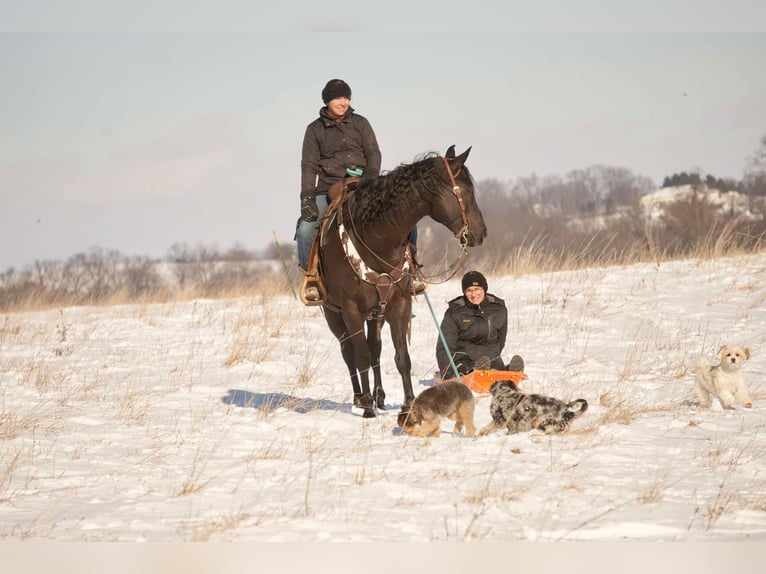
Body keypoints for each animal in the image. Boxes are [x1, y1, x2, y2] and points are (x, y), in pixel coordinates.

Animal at [320, 146, 488, 420]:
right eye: (465, 191)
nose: (481, 232)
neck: (376, 241)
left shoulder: (399, 304)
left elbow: (401, 357)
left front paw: (409, 406)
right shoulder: (351, 310)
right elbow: (361, 357)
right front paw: (367, 408)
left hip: (375, 315)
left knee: (375, 349)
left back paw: (379, 397)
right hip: (334, 315)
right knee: (350, 354)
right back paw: (361, 399)